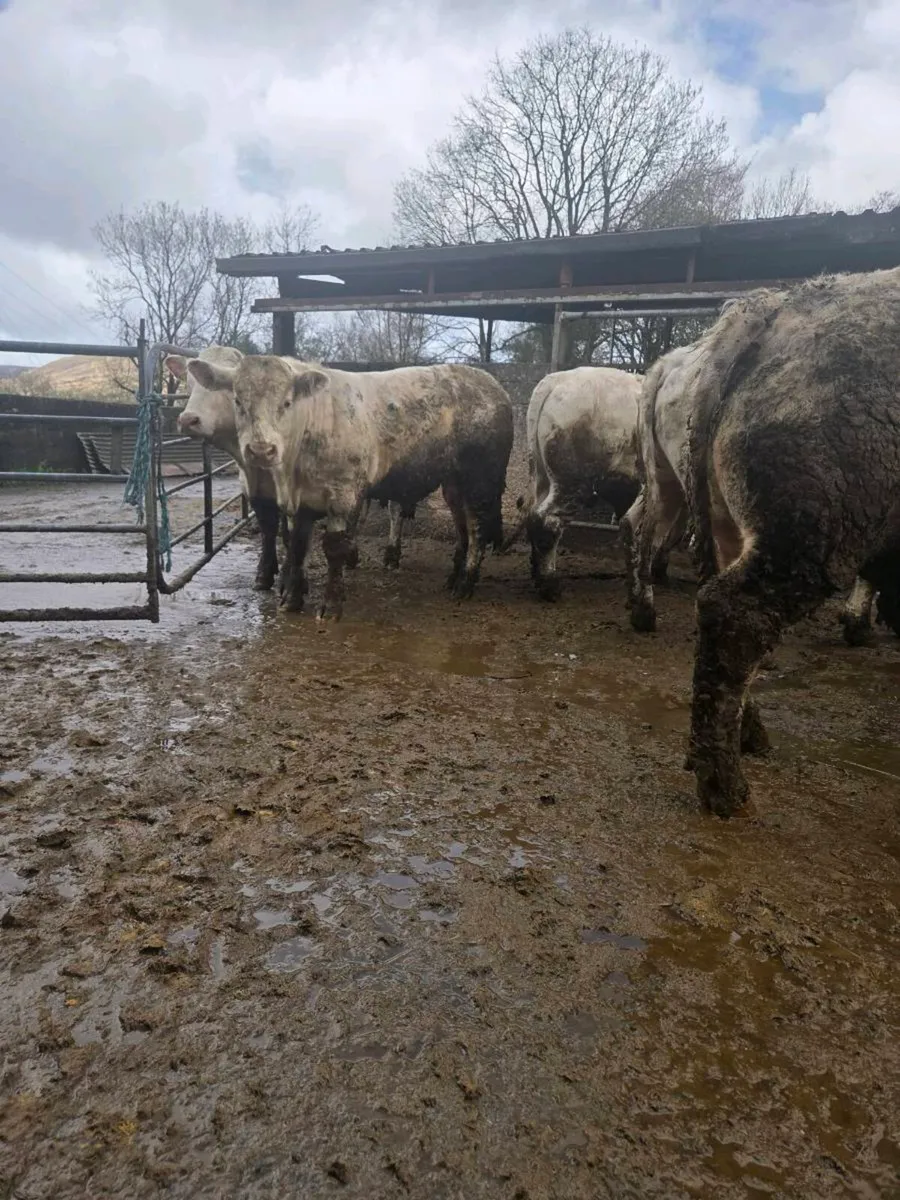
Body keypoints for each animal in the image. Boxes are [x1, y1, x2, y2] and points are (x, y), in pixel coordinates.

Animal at [182, 355, 514, 617]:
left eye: (287, 402)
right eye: (238, 401)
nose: (261, 450)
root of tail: (492, 385)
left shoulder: (345, 495)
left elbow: (334, 549)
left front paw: (330, 606)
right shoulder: (302, 503)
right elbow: (298, 545)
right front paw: (291, 599)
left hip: (480, 479)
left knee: (477, 528)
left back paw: (465, 584)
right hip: (454, 483)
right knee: (462, 526)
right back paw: (453, 576)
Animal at [504, 366, 646, 600]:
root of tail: (555, 380)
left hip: (543, 477)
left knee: (531, 513)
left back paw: (536, 572)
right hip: (572, 483)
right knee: (547, 520)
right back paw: (549, 584)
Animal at [683, 268, 900, 818]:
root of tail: (769, 313)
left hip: (727, 528)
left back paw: (746, 737)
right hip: (807, 537)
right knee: (736, 617)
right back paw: (725, 784)